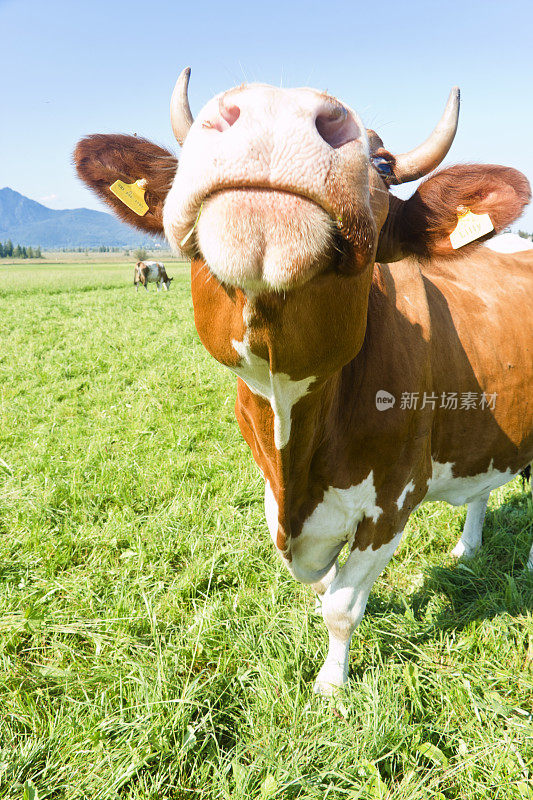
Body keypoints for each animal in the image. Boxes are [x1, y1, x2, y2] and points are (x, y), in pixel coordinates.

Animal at [76, 67, 532, 692]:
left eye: (382, 164)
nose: (276, 109)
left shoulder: (392, 503)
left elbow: (341, 605)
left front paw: (331, 685)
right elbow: (320, 587)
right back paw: (468, 547)